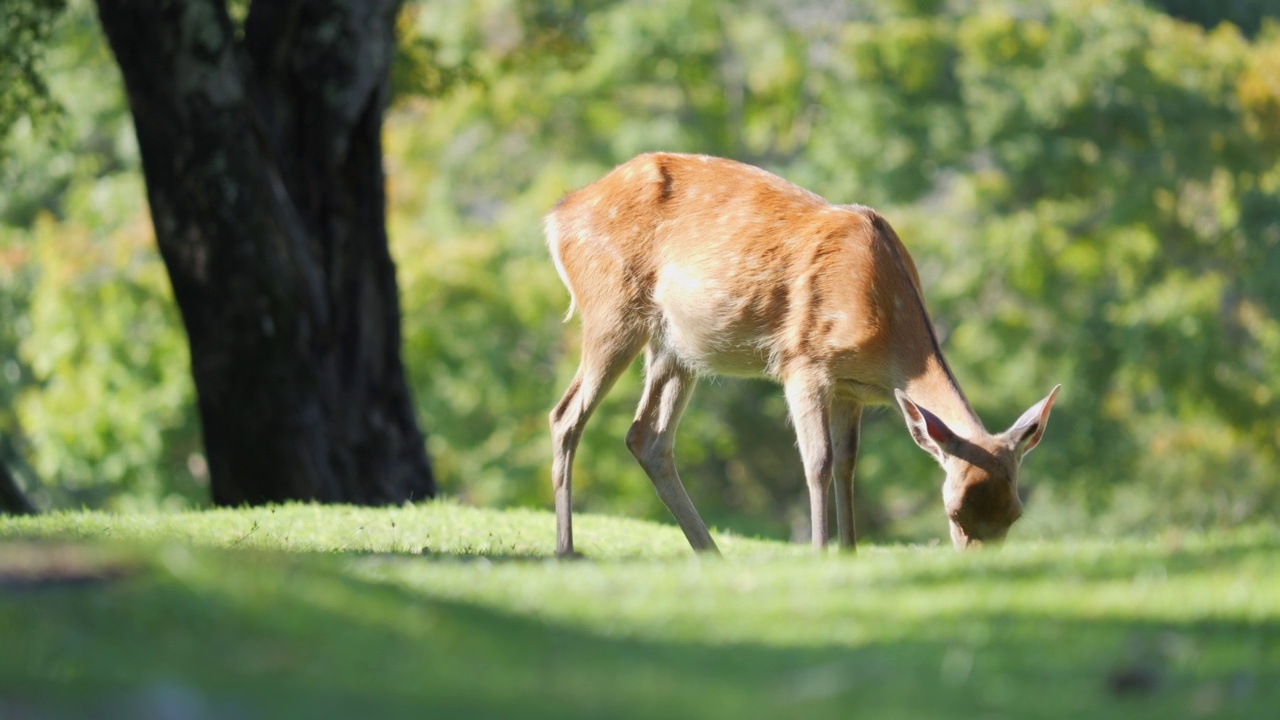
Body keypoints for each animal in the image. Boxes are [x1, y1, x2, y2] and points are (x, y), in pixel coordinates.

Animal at [545, 151, 1054, 556]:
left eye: (1015, 514)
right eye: (953, 512)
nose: (980, 564)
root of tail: (557, 215)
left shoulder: (852, 390)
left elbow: (848, 465)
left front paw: (850, 552)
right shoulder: (804, 363)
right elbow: (819, 462)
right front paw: (820, 553)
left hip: (675, 347)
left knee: (646, 437)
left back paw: (711, 553)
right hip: (611, 310)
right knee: (566, 415)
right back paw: (567, 550)